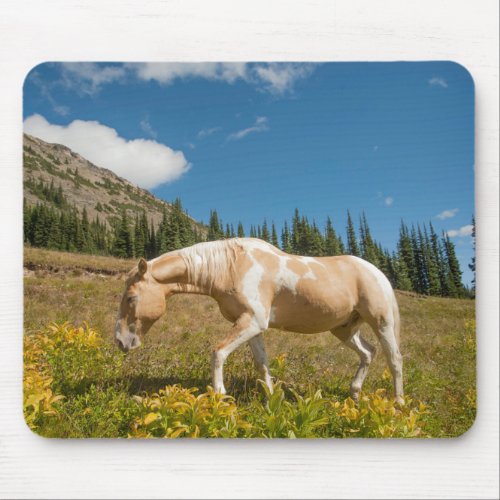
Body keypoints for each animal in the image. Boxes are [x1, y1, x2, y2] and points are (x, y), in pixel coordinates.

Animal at [115, 236, 404, 404]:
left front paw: (219, 396)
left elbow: (218, 353)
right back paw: (354, 395)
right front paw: (271, 402)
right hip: (344, 329)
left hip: (382, 322)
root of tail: (377, 272)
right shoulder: (252, 326)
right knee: (368, 352)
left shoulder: (252, 321)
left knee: (394, 360)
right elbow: (262, 364)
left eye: (131, 298)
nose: (120, 341)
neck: (232, 266)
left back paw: (398, 404)